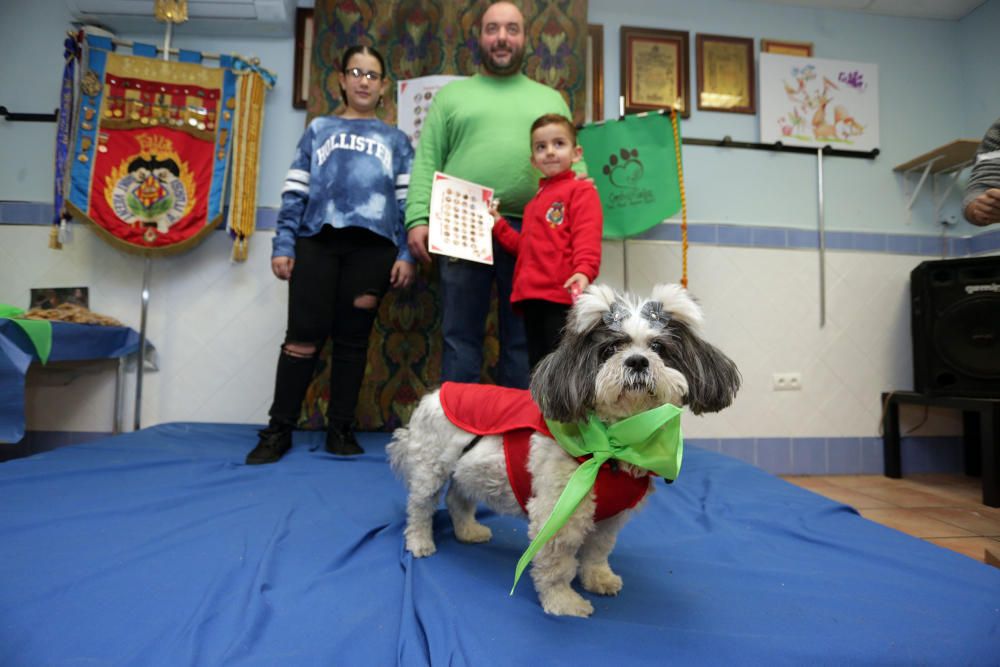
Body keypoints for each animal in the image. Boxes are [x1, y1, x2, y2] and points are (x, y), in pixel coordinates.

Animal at [386, 282, 740, 616]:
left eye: (658, 347)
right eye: (611, 348)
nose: (637, 361)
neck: (615, 445)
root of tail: (433, 394)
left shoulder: (610, 518)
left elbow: (597, 551)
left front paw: (598, 579)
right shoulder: (560, 511)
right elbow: (556, 564)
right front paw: (562, 601)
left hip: (468, 471)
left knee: (457, 499)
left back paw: (468, 531)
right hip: (430, 469)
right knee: (420, 507)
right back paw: (419, 541)